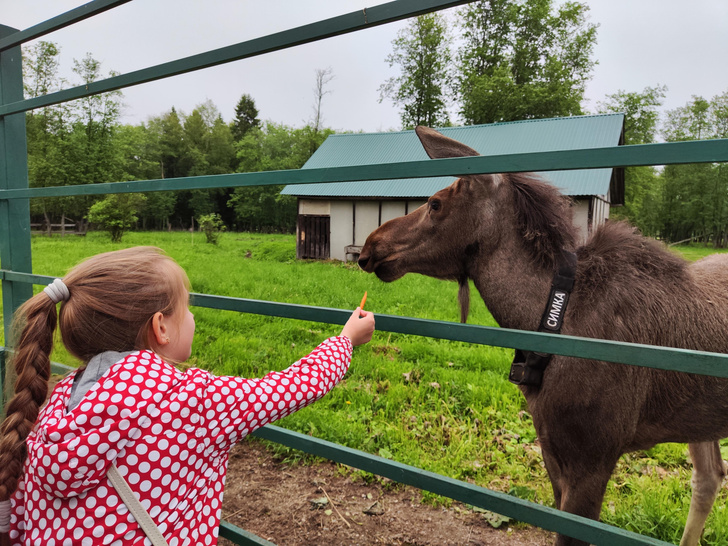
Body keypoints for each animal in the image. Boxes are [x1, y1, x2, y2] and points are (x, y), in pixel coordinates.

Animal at [358, 124, 728, 544]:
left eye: (435, 203)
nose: (370, 246)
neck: (548, 324)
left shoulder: (594, 457)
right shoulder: (553, 453)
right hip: (701, 419)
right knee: (710, 475)